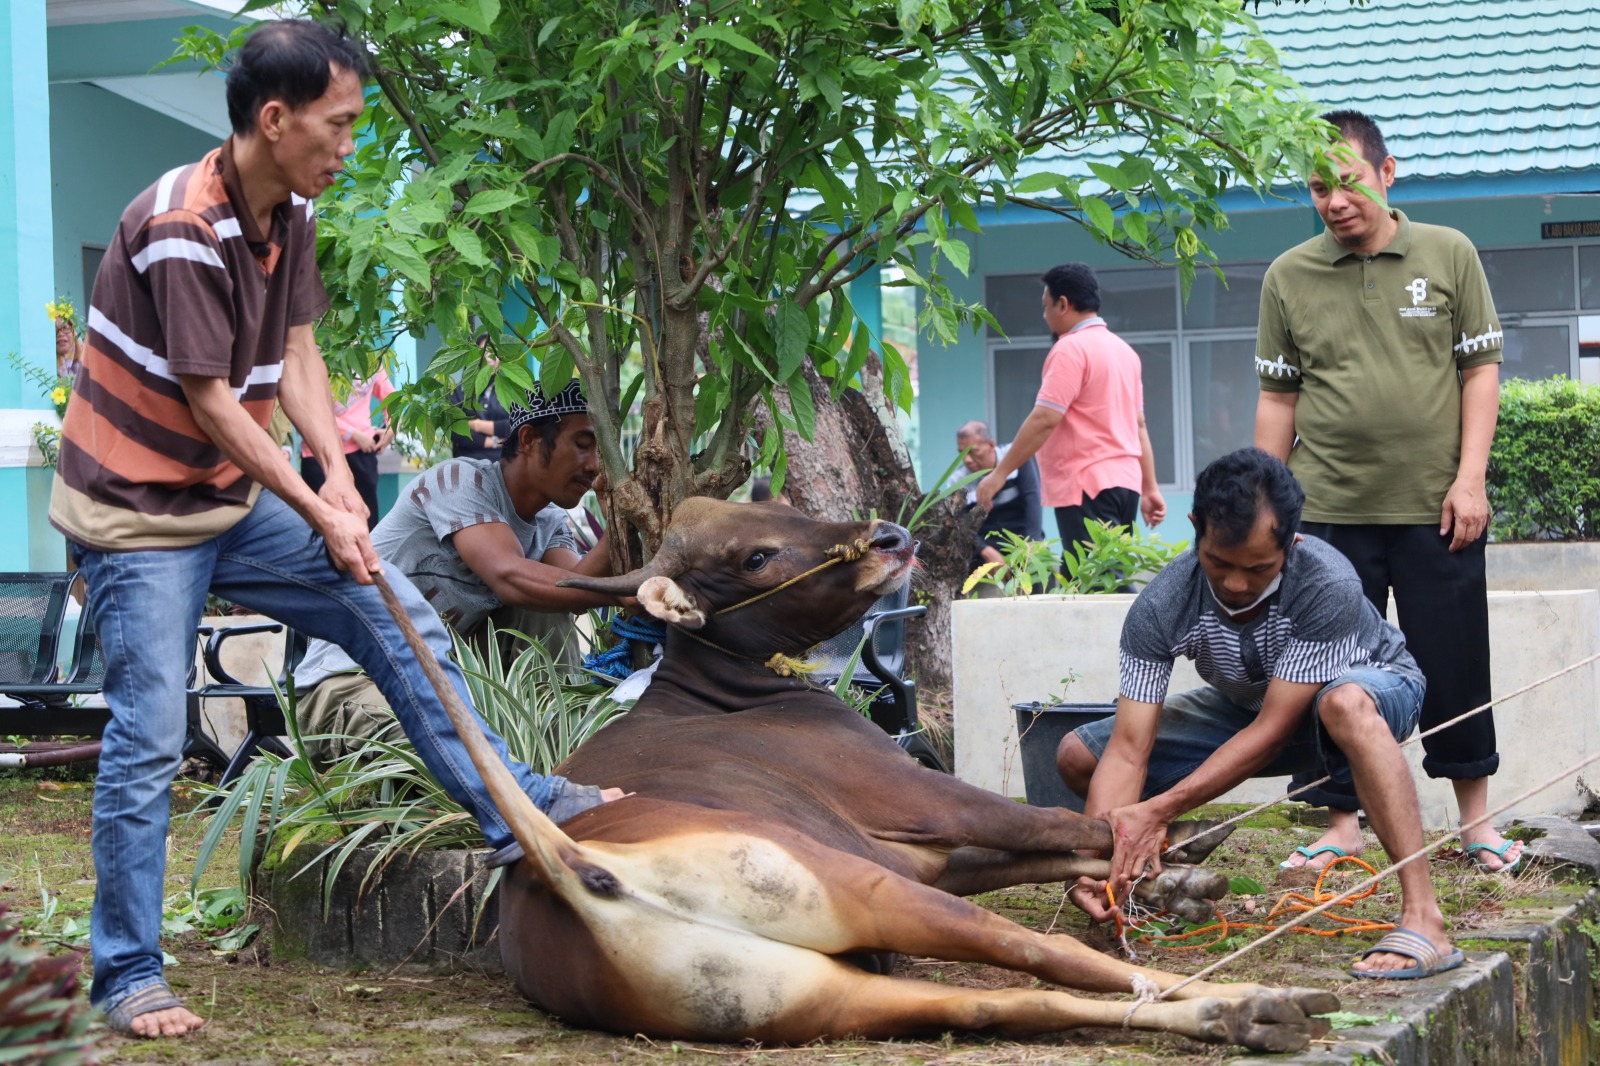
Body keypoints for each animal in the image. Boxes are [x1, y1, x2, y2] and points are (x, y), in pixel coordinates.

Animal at [416, 496, 1337, 1043]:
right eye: (755, 556)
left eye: (777, 502)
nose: (892, 537)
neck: (727, 687)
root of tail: (576, 870)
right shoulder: (922, 804)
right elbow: (1068, 824)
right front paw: (1171, 852)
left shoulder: (921, 851)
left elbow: (1047, 852)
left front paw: (1177, 870)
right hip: (858, 884)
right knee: (1041, 955)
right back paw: (1255, 998)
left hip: (818, 989)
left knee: (1003, 1000)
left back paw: (1247, 1013)